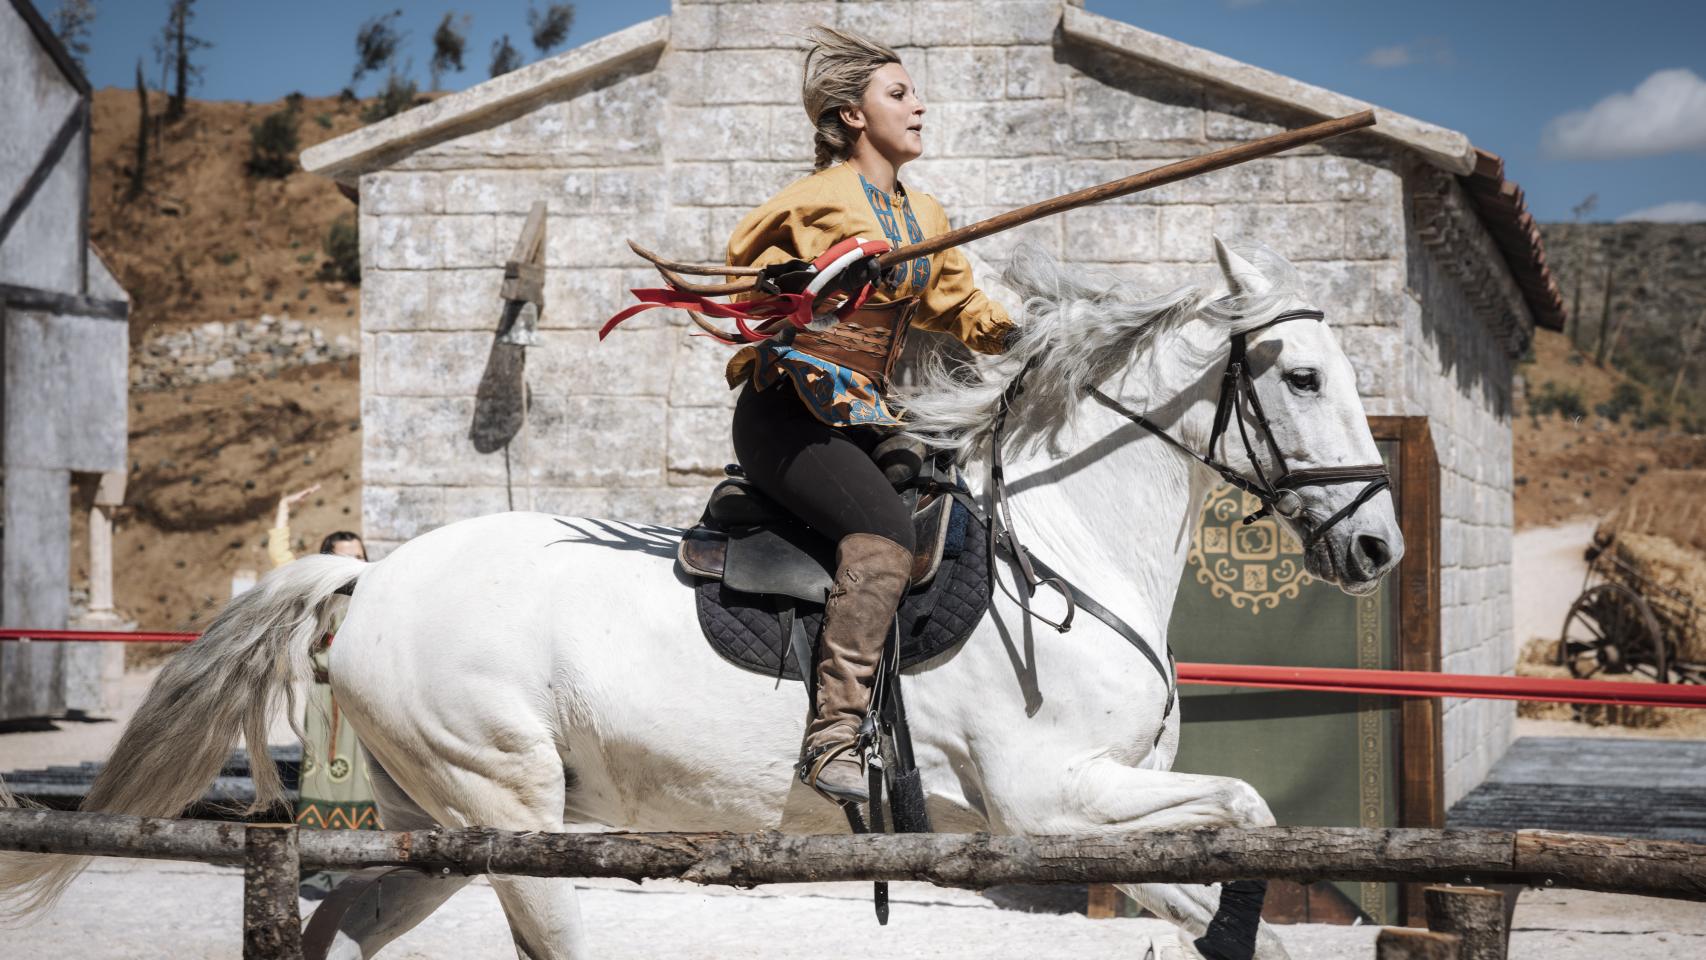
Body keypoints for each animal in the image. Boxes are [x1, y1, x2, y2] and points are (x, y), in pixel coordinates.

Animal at [0, 238, 1398, 954]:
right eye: (1300, 374)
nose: (1378, 545)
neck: (1060, 546)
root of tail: (375, 569)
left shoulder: (1099, 822)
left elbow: (1236, 874)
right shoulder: (1045, 806)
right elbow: (1251, 811)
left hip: (443, 825)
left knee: (338, 923)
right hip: (510, 812)